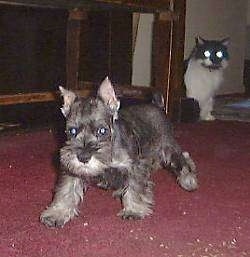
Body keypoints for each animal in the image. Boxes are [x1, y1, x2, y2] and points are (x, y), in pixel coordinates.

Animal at [40, 76, 198, 226]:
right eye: (72, 131)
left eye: (102, 130)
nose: (83, 157)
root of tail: (156, 105)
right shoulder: (71, 169)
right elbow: (66, 190)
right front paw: (56, 214)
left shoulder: (135, 166)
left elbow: (135, 188)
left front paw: (133, 210)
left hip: (168, 146)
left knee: (183, 159)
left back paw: (189, 180)